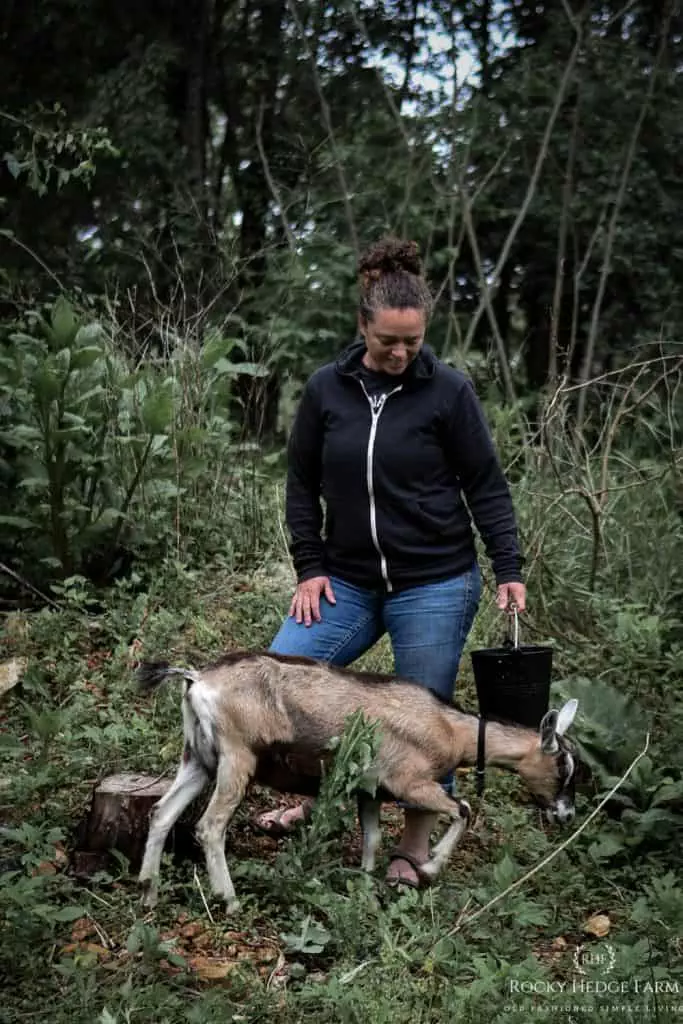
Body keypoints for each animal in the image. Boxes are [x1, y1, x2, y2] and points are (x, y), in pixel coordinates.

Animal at [136, 651, 581, 909]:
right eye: (563, 766)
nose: (567, 815)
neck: (452, 729)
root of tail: (197, 679)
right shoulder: (409, 783)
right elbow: (464, 810)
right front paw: (430, 867)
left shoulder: (371, 790)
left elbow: (372, 837)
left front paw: (365, 885)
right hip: (236, 757)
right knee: (209, 826)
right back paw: (228, 900)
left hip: (198, 759)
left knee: (161, 813)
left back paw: (149, 893)